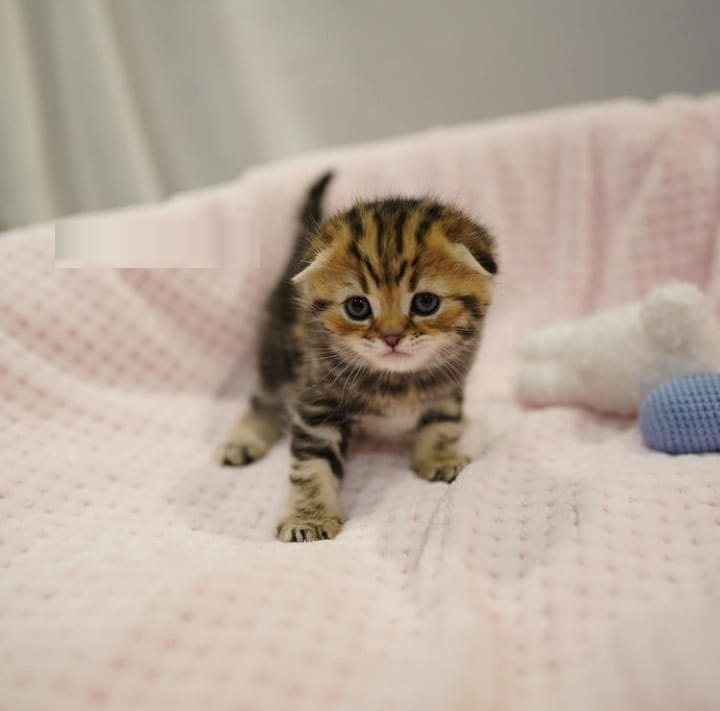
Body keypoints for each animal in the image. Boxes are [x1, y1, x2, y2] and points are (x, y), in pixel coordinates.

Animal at [219, 172, 498, 540]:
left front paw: (439, 457)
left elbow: (441, 422)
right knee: (263, 399)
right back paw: (242, 440)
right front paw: (308, 519)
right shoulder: (317, 404)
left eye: (425, 303)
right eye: (357, 307)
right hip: (276, 356)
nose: (391, 337)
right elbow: (311, 464)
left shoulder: (448, 383)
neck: (396, 382)